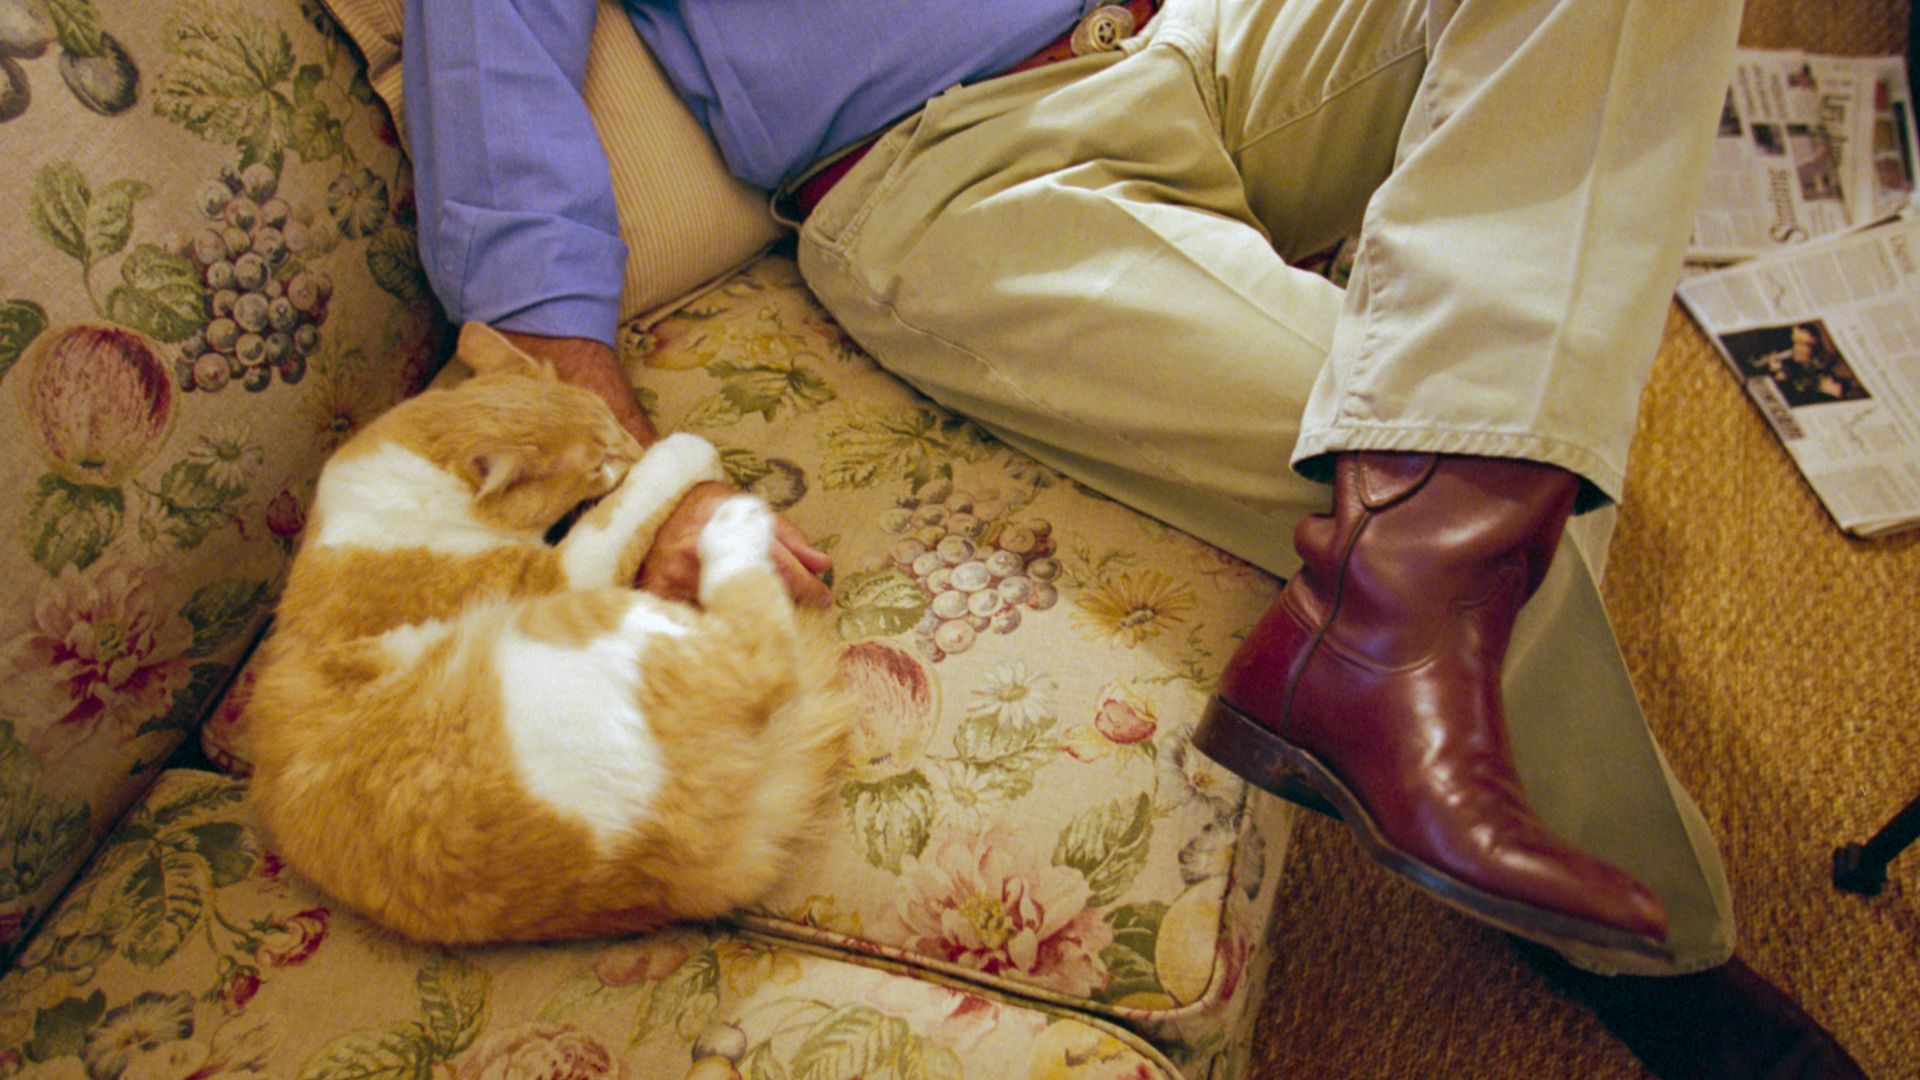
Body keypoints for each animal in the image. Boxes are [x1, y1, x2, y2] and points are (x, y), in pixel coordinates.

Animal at [245, 320, 848, 941]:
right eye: (600, 461)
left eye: (613, 421)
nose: (632, 448)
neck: (417, 479)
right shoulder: (555, 573)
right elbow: (631, 500)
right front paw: (680, 451)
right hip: (612, 634)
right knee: (765, 658)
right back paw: (734, 524)